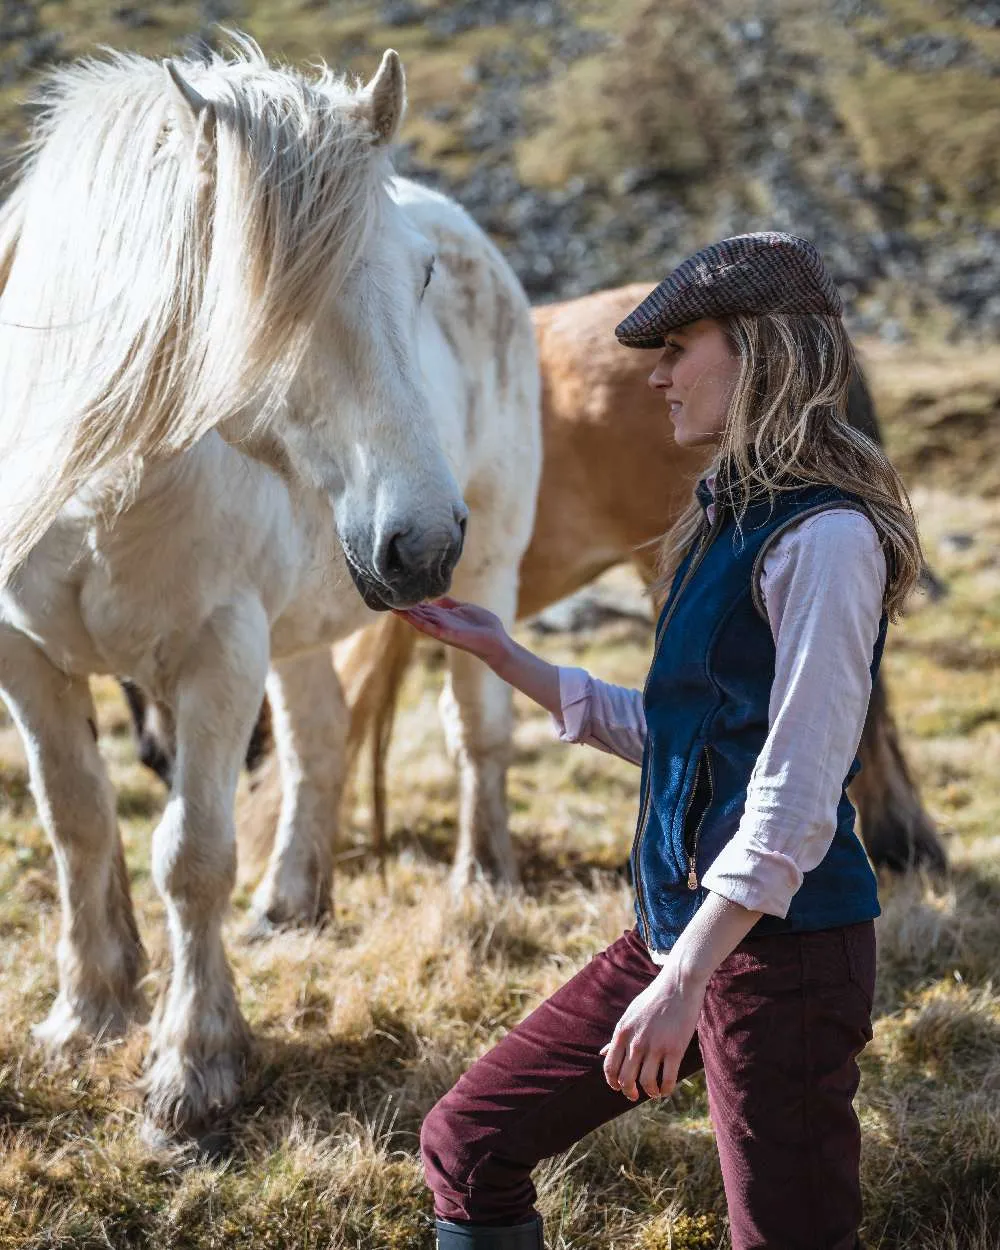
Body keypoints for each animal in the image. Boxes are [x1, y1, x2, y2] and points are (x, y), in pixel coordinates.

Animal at [0, 39, 540, 1140]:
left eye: (420, 274)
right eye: (265, 300)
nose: (421, 541)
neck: (101, 485)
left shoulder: (218, 652)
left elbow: (192, 854)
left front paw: (194, 1067)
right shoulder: (25, 657)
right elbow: (77, 821)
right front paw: (88, 1011)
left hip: (490, 578)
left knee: (480, 736)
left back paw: (482, 885)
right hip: (299, 631)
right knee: (319, 743)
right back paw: (292, 902)